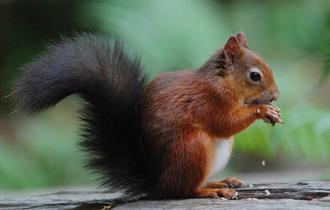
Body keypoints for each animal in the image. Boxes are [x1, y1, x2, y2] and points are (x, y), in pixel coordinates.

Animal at [13, 32, 282, 199]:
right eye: (255, 75)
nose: (276, 96)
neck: (223, 81)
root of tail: (157, 182)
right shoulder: (209, 101)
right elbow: (224, 124)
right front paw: (262, 110)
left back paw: (219, 182)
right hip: (192, 148)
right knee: (180, 191)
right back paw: (211, 191)